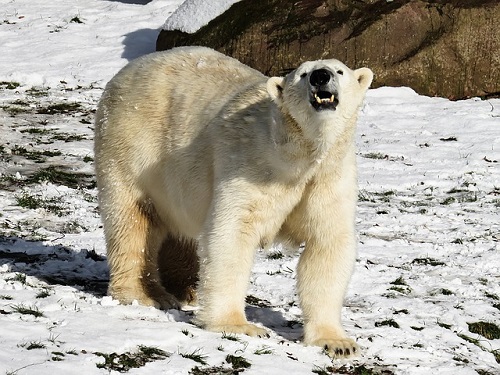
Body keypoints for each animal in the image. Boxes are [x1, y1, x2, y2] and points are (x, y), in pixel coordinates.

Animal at [95, 45, 374, 356]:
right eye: (302, 74)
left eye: (339, 70)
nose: (320, 76)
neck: (298, 157)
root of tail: (130, 68)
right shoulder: (251, 164)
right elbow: (232, 233)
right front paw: (238, 325)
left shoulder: (328, 178)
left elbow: (327, 243)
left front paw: (337, 343)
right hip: (131, 145)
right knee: (133, 220)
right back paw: (145, 294)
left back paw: (186, 290)